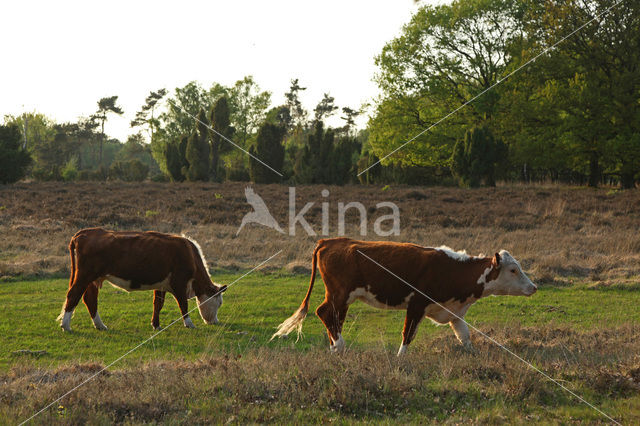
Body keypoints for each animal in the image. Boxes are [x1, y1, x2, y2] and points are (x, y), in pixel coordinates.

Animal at [58, 228, 228, 332]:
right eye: (219, 303)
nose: (215, 322)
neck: (189, 254)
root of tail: (86, 232)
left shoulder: (161, 285)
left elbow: (158, 304)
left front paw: (156, 325)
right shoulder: (179, 282)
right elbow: (183, 305)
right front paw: (189, 324)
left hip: (93, 279)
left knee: (90, 299)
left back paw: (100, 325)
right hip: (84, 275)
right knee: (73, 295)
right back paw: (66, 326)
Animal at [272, 238, 536, 354]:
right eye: (513, 270)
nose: (533, 287)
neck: (451, 268)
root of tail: (330, 241)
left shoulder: (453, 312)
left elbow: (465, 338)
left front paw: (475, 356)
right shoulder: (417, 304)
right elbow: (407, 335)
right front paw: (400, 359)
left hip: (342, 299)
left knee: (332, 318)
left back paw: (335, 348)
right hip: (339, 294)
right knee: (325, 313)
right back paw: (339, 345)